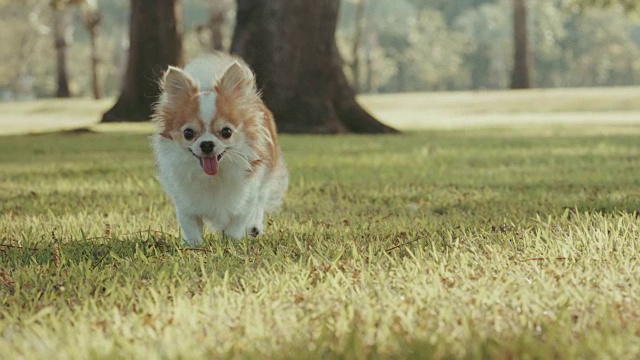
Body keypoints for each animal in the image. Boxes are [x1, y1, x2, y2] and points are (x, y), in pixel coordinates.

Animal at [151, 53, 286, 246]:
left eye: (226, 132)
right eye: (188, 133)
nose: (207, 144)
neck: (213, 177)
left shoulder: (248, 193)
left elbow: (239, 219)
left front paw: (231, 241)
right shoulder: (184, 202)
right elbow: (190, 224)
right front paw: (194, 245)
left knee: (260, 201)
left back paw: (254, 227)